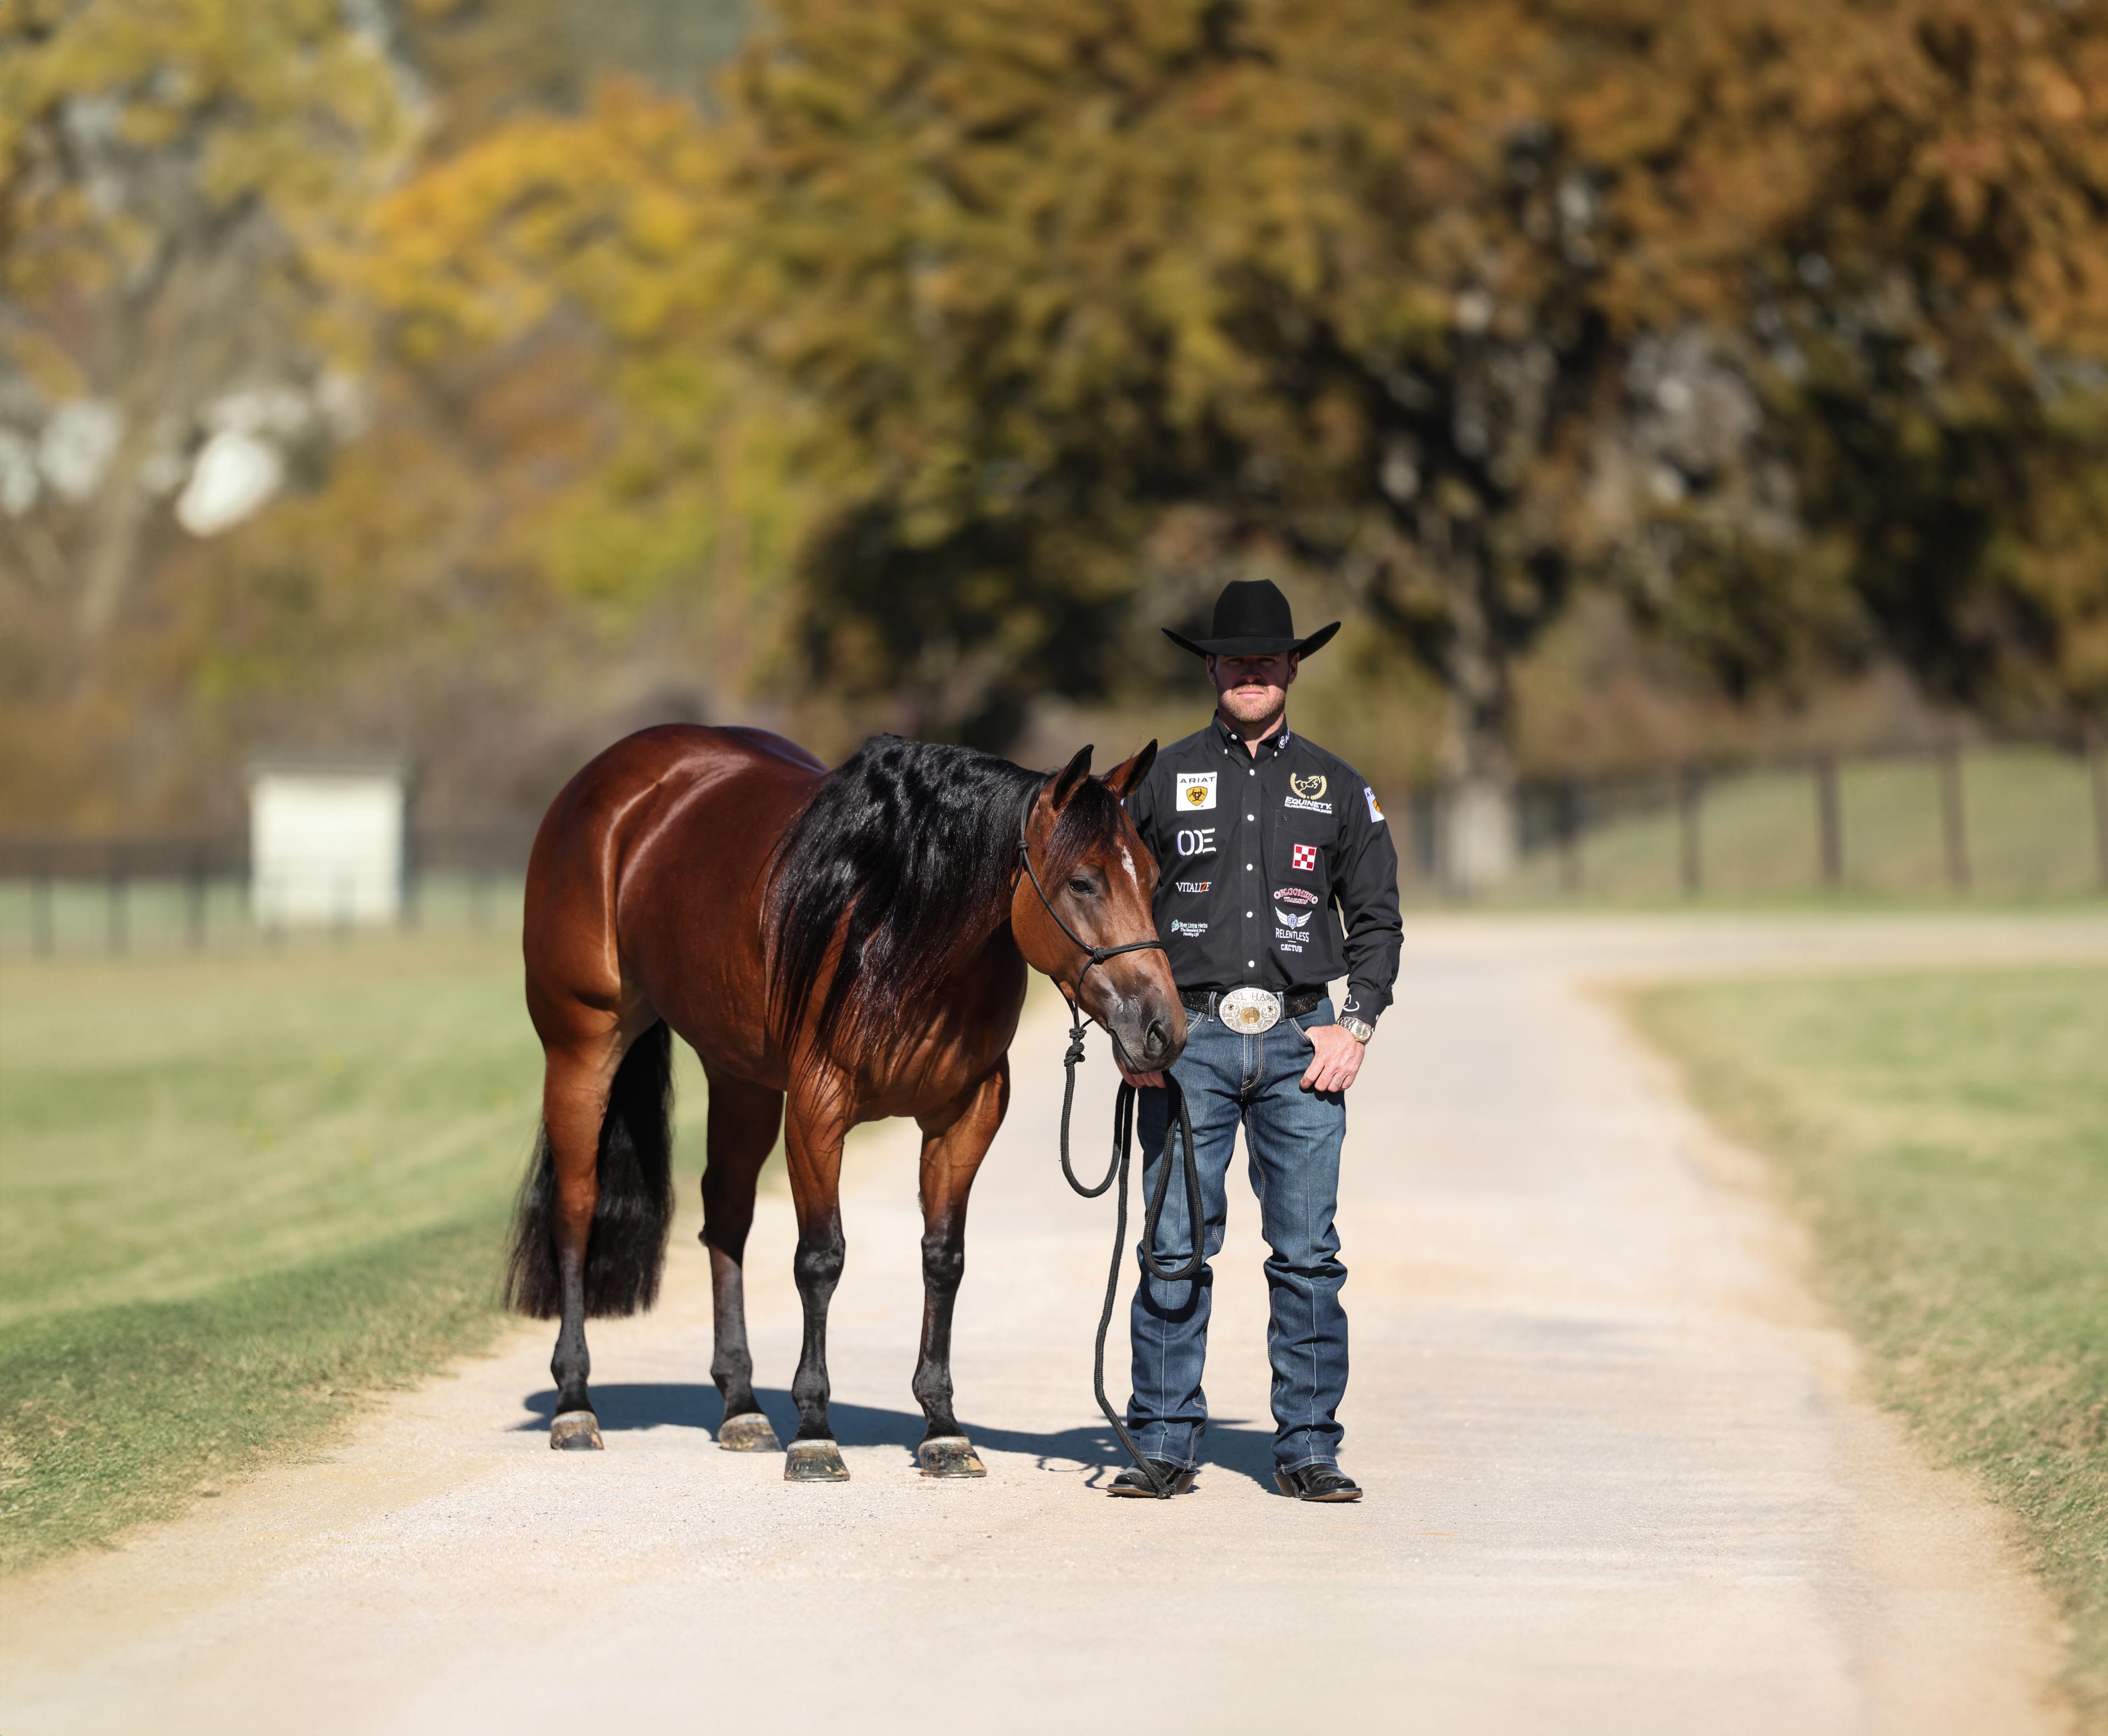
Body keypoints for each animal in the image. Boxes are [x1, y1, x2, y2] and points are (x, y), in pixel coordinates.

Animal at [503, 725, 1185, 1480]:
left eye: (1152, 875)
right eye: (1083, 881)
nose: (1163, 1028)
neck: (896, 921)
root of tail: (612, 780)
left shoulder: (968, 1113)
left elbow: (944, 1258)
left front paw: (944, 1427)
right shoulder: (817, 1108)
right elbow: (820, 1259)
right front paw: (815, 1432)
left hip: (738, 1075)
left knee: (726, 1217)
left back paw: (742, 1408)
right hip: (582, 1045)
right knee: (576, 1209)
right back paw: (574, 1405)